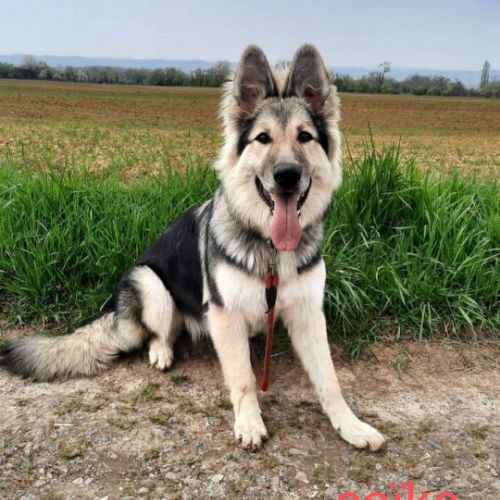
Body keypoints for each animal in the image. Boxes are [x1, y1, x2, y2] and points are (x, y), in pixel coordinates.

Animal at [0, 44, 385, 451]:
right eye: (263, 139)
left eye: (305, 137)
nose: (286, 176)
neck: (269, 248)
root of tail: (116, 309)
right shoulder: (224, 314)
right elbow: (244, 379)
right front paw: (249, 422)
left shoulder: (307, 314)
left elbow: (329, 379)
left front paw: (351, 426)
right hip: (150, 283)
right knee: (159, 331)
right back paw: (161, 351)